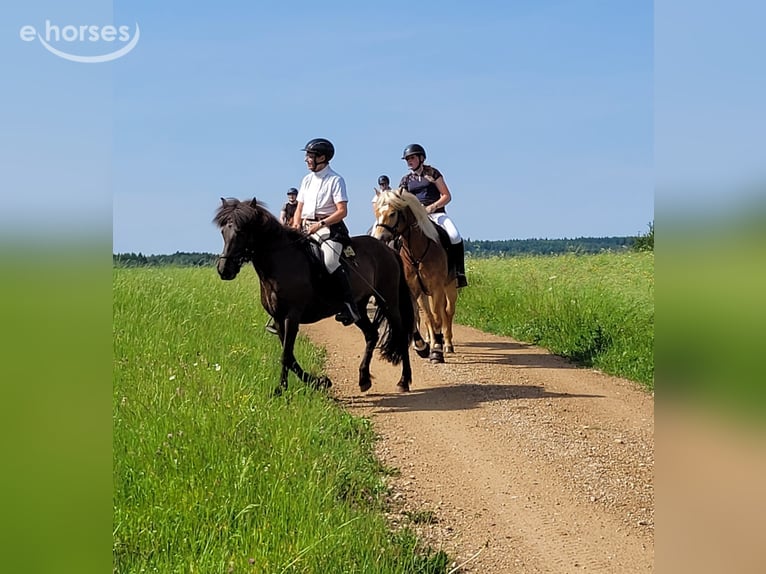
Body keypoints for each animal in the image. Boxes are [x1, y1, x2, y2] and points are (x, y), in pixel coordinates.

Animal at [214, 198, 415, 394]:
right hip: (359, 306)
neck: (280, 262)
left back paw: (403, 381)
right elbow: (289, 356)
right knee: (371, 334)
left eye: (241, 232)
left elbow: (286, 355)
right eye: (223, 232)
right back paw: (364, 379)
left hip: (389, 302)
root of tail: (389, 250)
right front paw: (317, 382)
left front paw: (282, 389)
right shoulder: (278, 318)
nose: (224, 270)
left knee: (401, 334)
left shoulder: (292, 316)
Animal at [372, 189, 458, 363]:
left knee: (448, 311)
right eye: (376, 212)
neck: (416, 253)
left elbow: (437, 317)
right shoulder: (413, 289)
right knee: (430, 316)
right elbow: (418, 317)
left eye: (392, 213)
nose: (379, 238)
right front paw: (422, 347)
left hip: (449, 287)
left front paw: (436, 351)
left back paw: (447, 344)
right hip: (425, 294)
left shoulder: (437, 288)